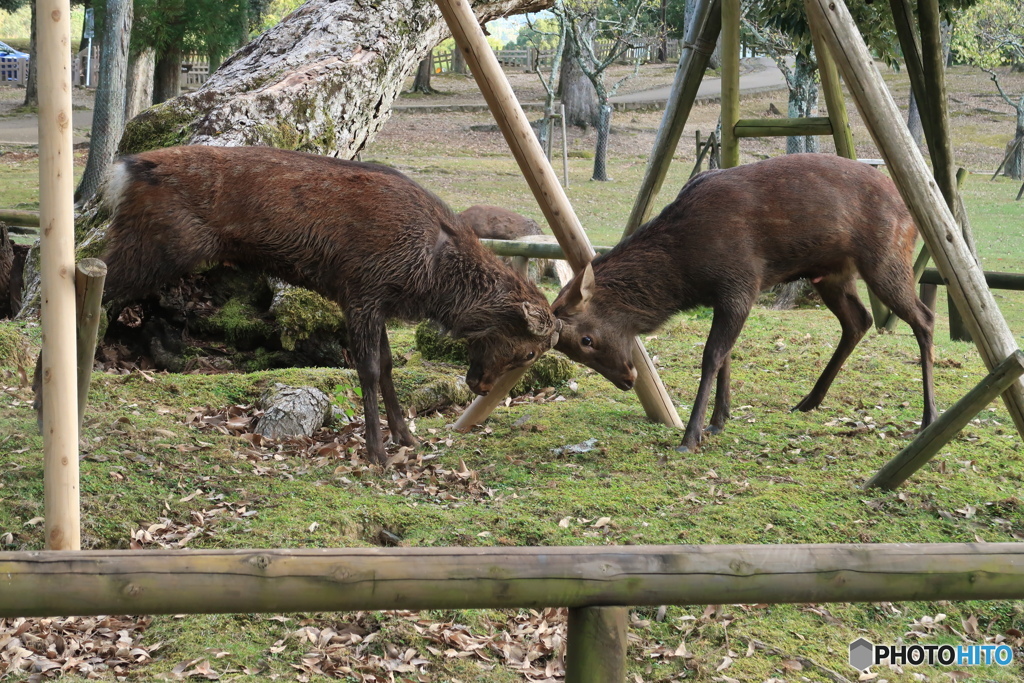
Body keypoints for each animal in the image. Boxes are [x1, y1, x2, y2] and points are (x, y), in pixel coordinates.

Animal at [101, 144, 561, 464]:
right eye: (531, 351)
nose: (481, 387)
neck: (431, 277)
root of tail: (127, 169)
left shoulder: (379, 302)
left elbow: (388, 365)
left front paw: (407, 437)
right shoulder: (360, 290)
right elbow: (368, 369)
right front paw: (376, 452)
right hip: (153, 247)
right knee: (96, 281)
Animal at [552, 155, 937, 454]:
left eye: (586, 339)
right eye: (569, 351)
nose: (626, 379)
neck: (686, 270)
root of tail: (910, 211)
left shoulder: (740, 283)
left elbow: (712, 355)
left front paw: (691, 436)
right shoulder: (724, 296)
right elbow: (726, 355)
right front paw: (719, 421)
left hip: (885, 257)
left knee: (924, 318)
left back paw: (929, 418)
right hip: (832, 274)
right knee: (859, 320)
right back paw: (808, 401)